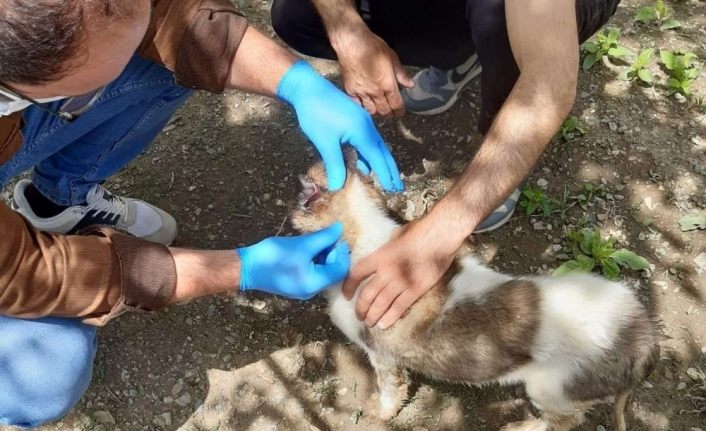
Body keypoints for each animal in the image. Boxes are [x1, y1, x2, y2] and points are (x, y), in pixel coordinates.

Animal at [290, 163, 656, 431]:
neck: (367, 236)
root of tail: (642, 337)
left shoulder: (381, 354)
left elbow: (389, 390)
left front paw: (380, 413)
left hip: (553, 390)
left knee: (562, 422)